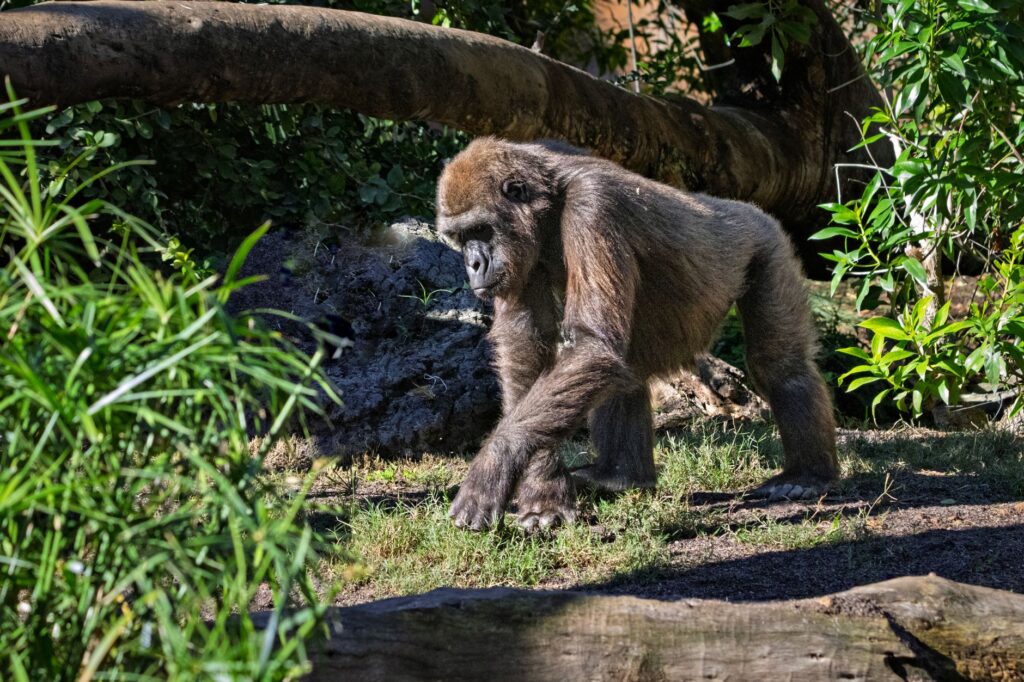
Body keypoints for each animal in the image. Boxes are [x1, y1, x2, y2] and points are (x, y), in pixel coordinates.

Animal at [435, 137, 838, 531]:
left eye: (481, 230)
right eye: (459, 237)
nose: (473, 264)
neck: (548, 202)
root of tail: (748, 208)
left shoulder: (593, 208)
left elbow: (590, 345)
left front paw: (494, 462)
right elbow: (526, 346)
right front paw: (544, 490)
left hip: (766, 243)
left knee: (780, 365)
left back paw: (806, 474)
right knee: (623, 367)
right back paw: (620, 476)